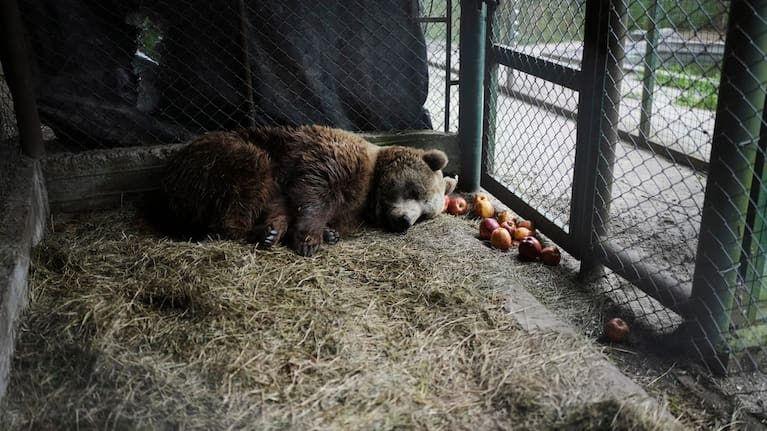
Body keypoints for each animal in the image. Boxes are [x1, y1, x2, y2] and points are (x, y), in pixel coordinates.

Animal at [155, 125, 458, 256]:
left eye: (425, 214)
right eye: (416, 191)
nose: (405, 221)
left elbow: (284, 204)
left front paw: (324, 232)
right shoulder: (331, 160)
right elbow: (313, 192)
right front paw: (308, 239)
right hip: (219, 159)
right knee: (248, 181)